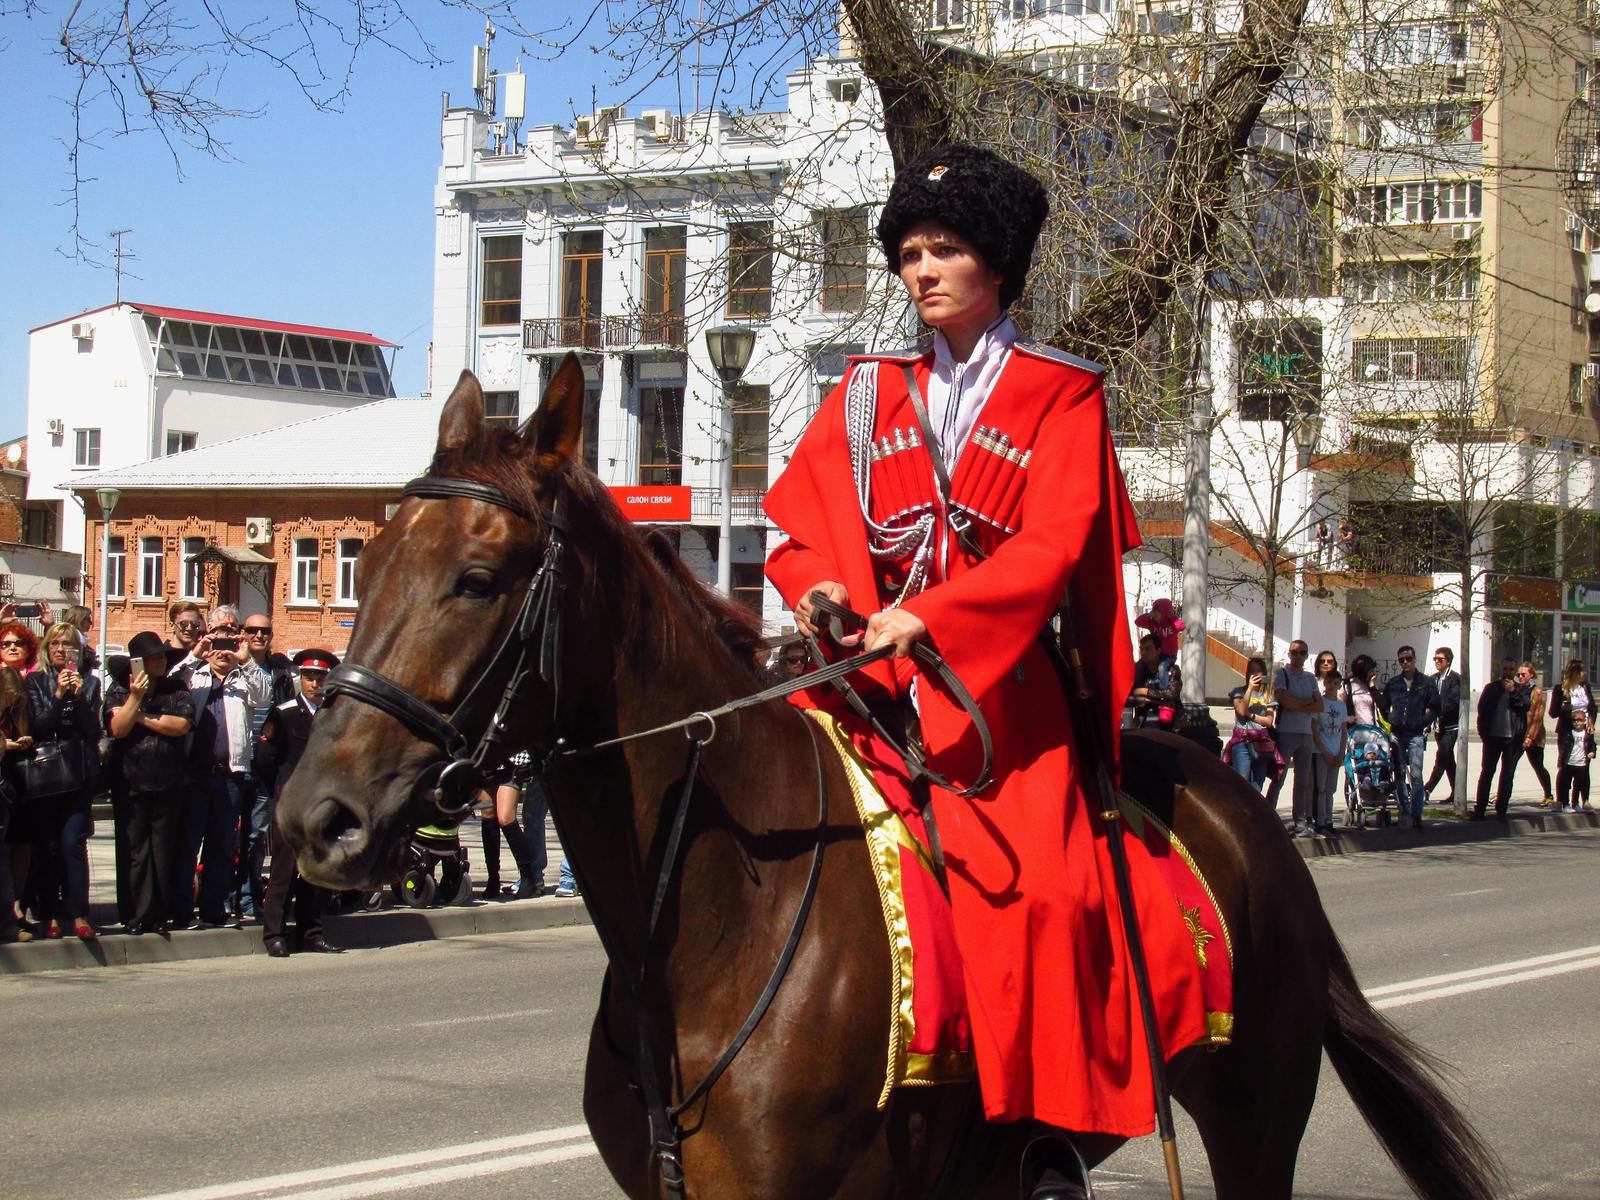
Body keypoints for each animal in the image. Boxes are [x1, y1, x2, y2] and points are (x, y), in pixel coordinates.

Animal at [281, 360, 1504, 1200]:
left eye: (480, 577)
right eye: (362, 562)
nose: (313, 818)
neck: (710, 926)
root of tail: (1244, 810)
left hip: (1254, 1123)